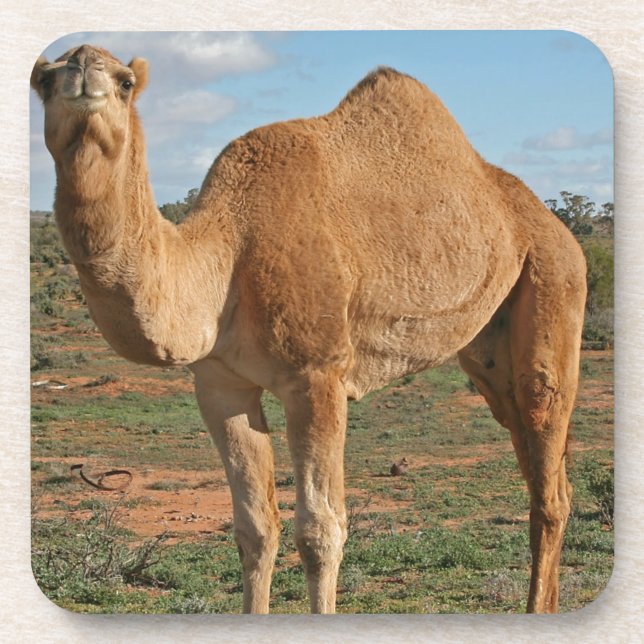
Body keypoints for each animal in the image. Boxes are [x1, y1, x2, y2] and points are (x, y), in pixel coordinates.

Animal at [31, 44, 587, 614]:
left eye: (125, 82)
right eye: (44, 80)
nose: (82, 69)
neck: (228, 254)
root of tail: (553, 224)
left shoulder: (318, 375)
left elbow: (321, 531)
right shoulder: (220, 383)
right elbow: (255, 528)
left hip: (554, 278)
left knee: (546, 452)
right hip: (488, 351)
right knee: (535, 456)